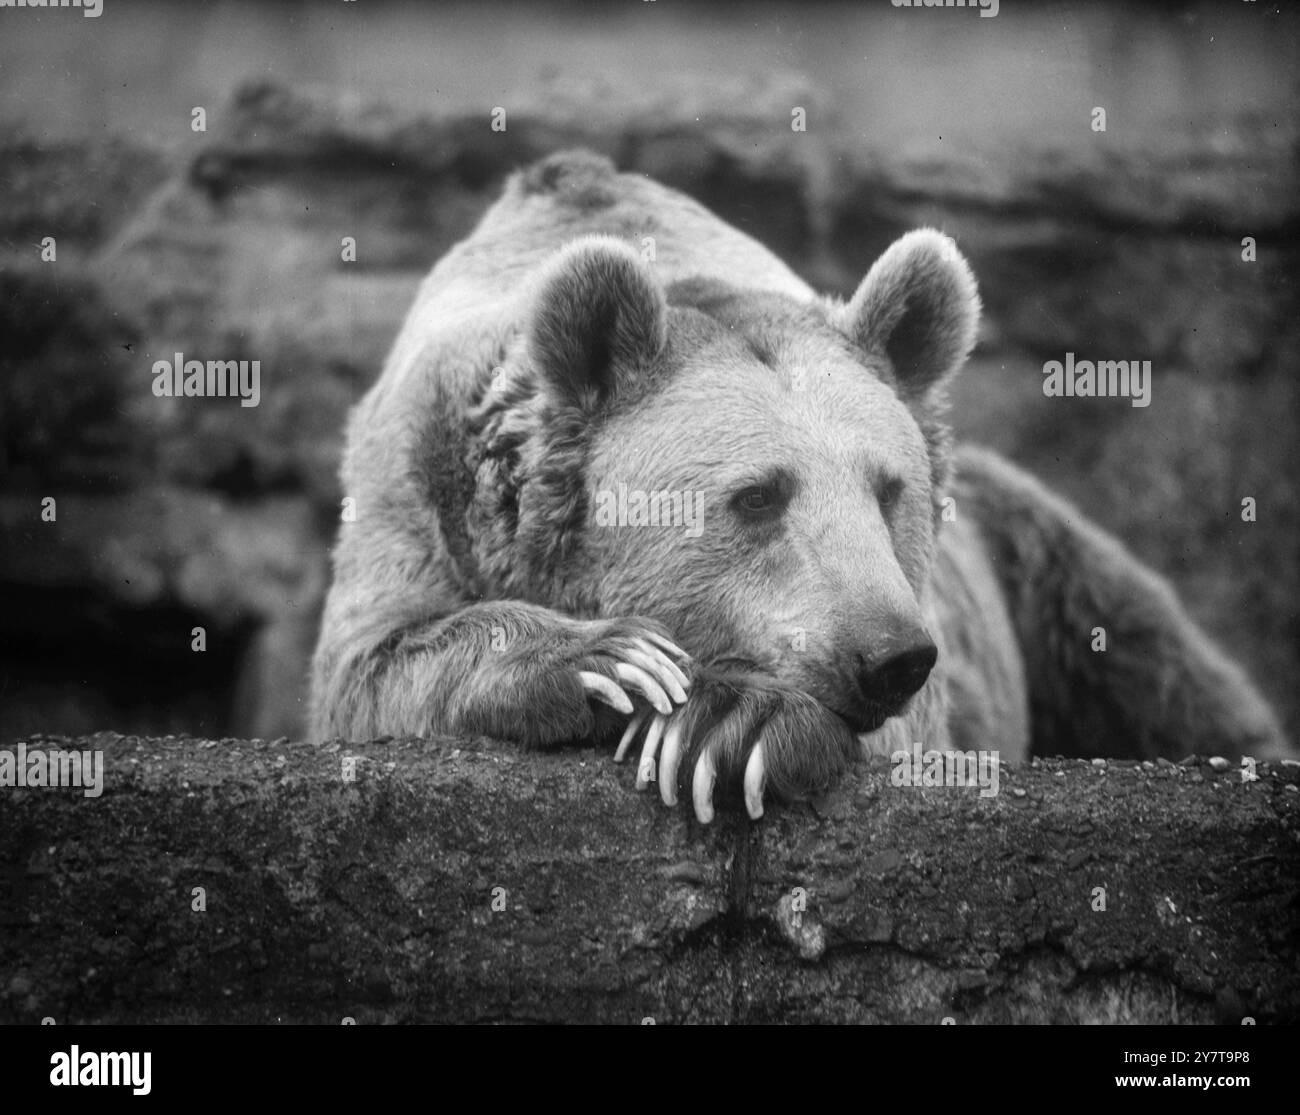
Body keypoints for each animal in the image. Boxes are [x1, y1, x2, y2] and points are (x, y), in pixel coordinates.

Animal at [310, 149, 1286, 823]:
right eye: (758, 494)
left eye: (889, 489)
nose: (891, 653)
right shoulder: (423, 478)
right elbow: (373, 665)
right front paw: (613, 660)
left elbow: (899, 731)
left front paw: (725, 724)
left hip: (1033, 558)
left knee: (1156, 666)